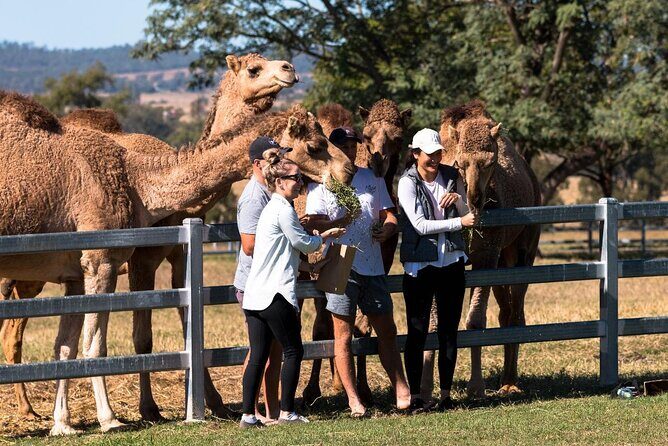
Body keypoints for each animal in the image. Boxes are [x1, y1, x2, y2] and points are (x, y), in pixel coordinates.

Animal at [0, 105, 356, 424]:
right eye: (314, 145)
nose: (349, 170)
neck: (135, 181)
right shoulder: (100, 261)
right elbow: (94, 345)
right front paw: (109, 419)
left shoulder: (75, 273)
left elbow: (65, 347)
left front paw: (62, 423)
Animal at [438, 100, 541, 397]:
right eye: (460, 163)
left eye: (491, 162)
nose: (476, 198)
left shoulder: (486, 255)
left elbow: (475, 321)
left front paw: (475, 386)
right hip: (502, 259)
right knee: (505, 312)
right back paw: (506, 379)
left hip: (523, 249)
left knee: (516, 313)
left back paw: (510, 382)